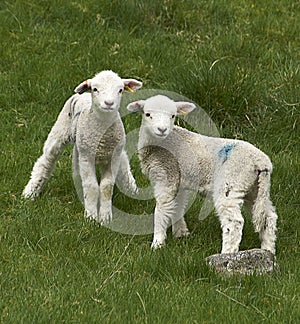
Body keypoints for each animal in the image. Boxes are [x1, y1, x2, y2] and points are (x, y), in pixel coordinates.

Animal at [22, 69, 142, 224]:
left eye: (120, 90)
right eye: (95, 89)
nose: (109, 103)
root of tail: (83, 94)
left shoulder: (112, 157)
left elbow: (106, 187)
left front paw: (105, 217)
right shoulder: (87, 157)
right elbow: (91, 186)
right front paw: (91, 217)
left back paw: (131, 188)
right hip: (60, 132)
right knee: (45, 162)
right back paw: (30, 192)